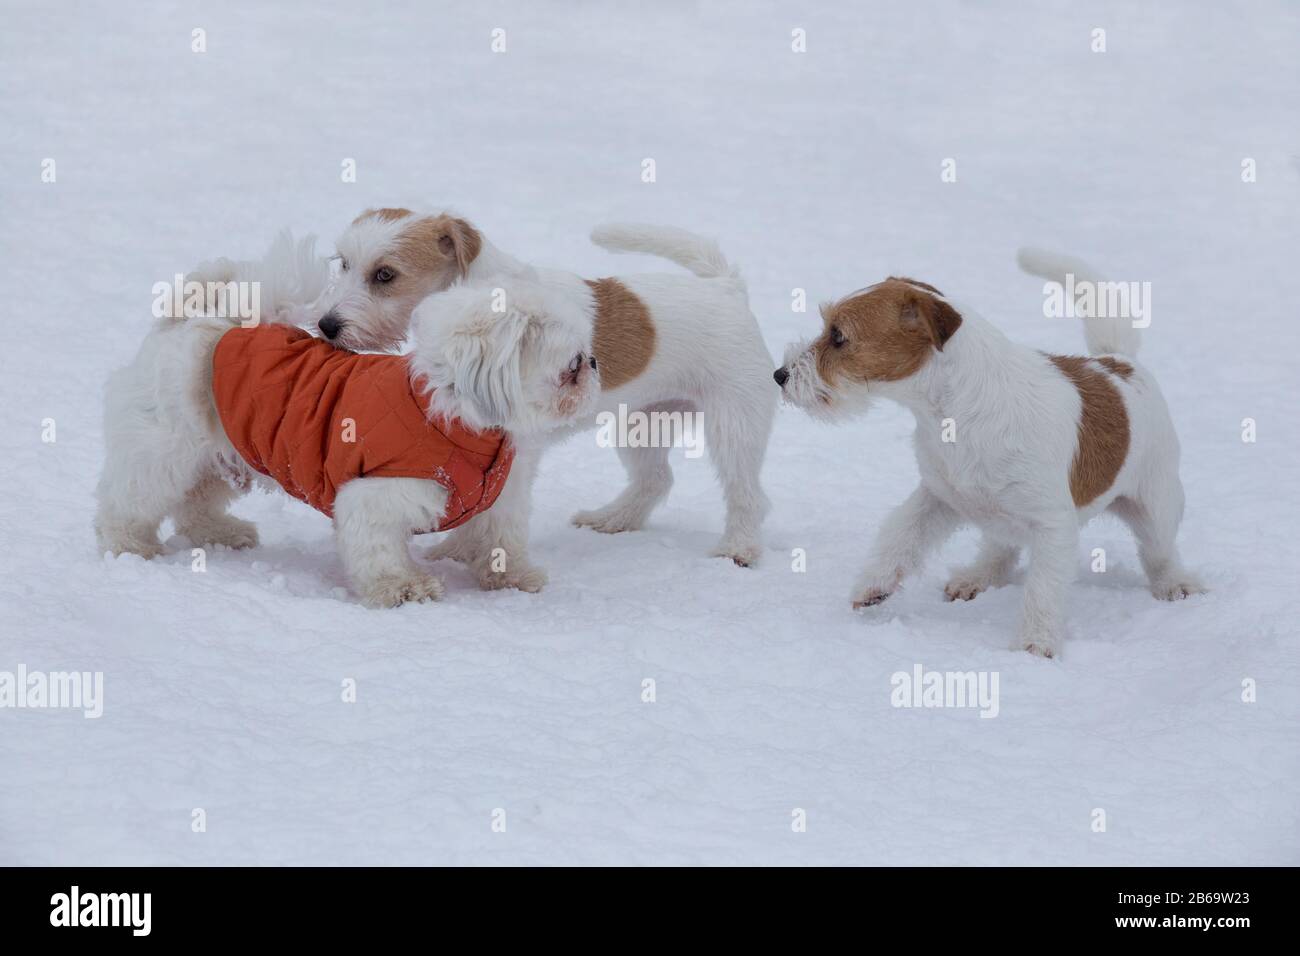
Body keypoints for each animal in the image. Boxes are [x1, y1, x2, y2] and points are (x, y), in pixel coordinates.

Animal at [96, 232, 598, 606]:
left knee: (195, 504)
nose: (594, 366)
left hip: (226, 449)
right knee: (131, 500)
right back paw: (128, 546)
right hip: (165, 449)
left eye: (585, 359)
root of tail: (206, 322)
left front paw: (512, 577)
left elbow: (501, 539)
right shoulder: (374, 497)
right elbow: (380, 552)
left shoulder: (500, 499)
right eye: (572, 366)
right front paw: (404, 588)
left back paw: (221, 532)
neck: (450, 415)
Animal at [769, 251, 1206, 658]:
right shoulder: (937, 496)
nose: (780, 375)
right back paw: (976, 576)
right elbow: (901, 535)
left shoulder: (1052, 524)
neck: (948, 413)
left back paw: (1176, 584)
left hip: (1156, 502)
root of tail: (1118, 361)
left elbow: (1043, 590)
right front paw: (873, 585)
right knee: (1002, 549)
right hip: (996, 511)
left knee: (1159, 550)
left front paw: (1034, 646)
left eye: (838, 336)